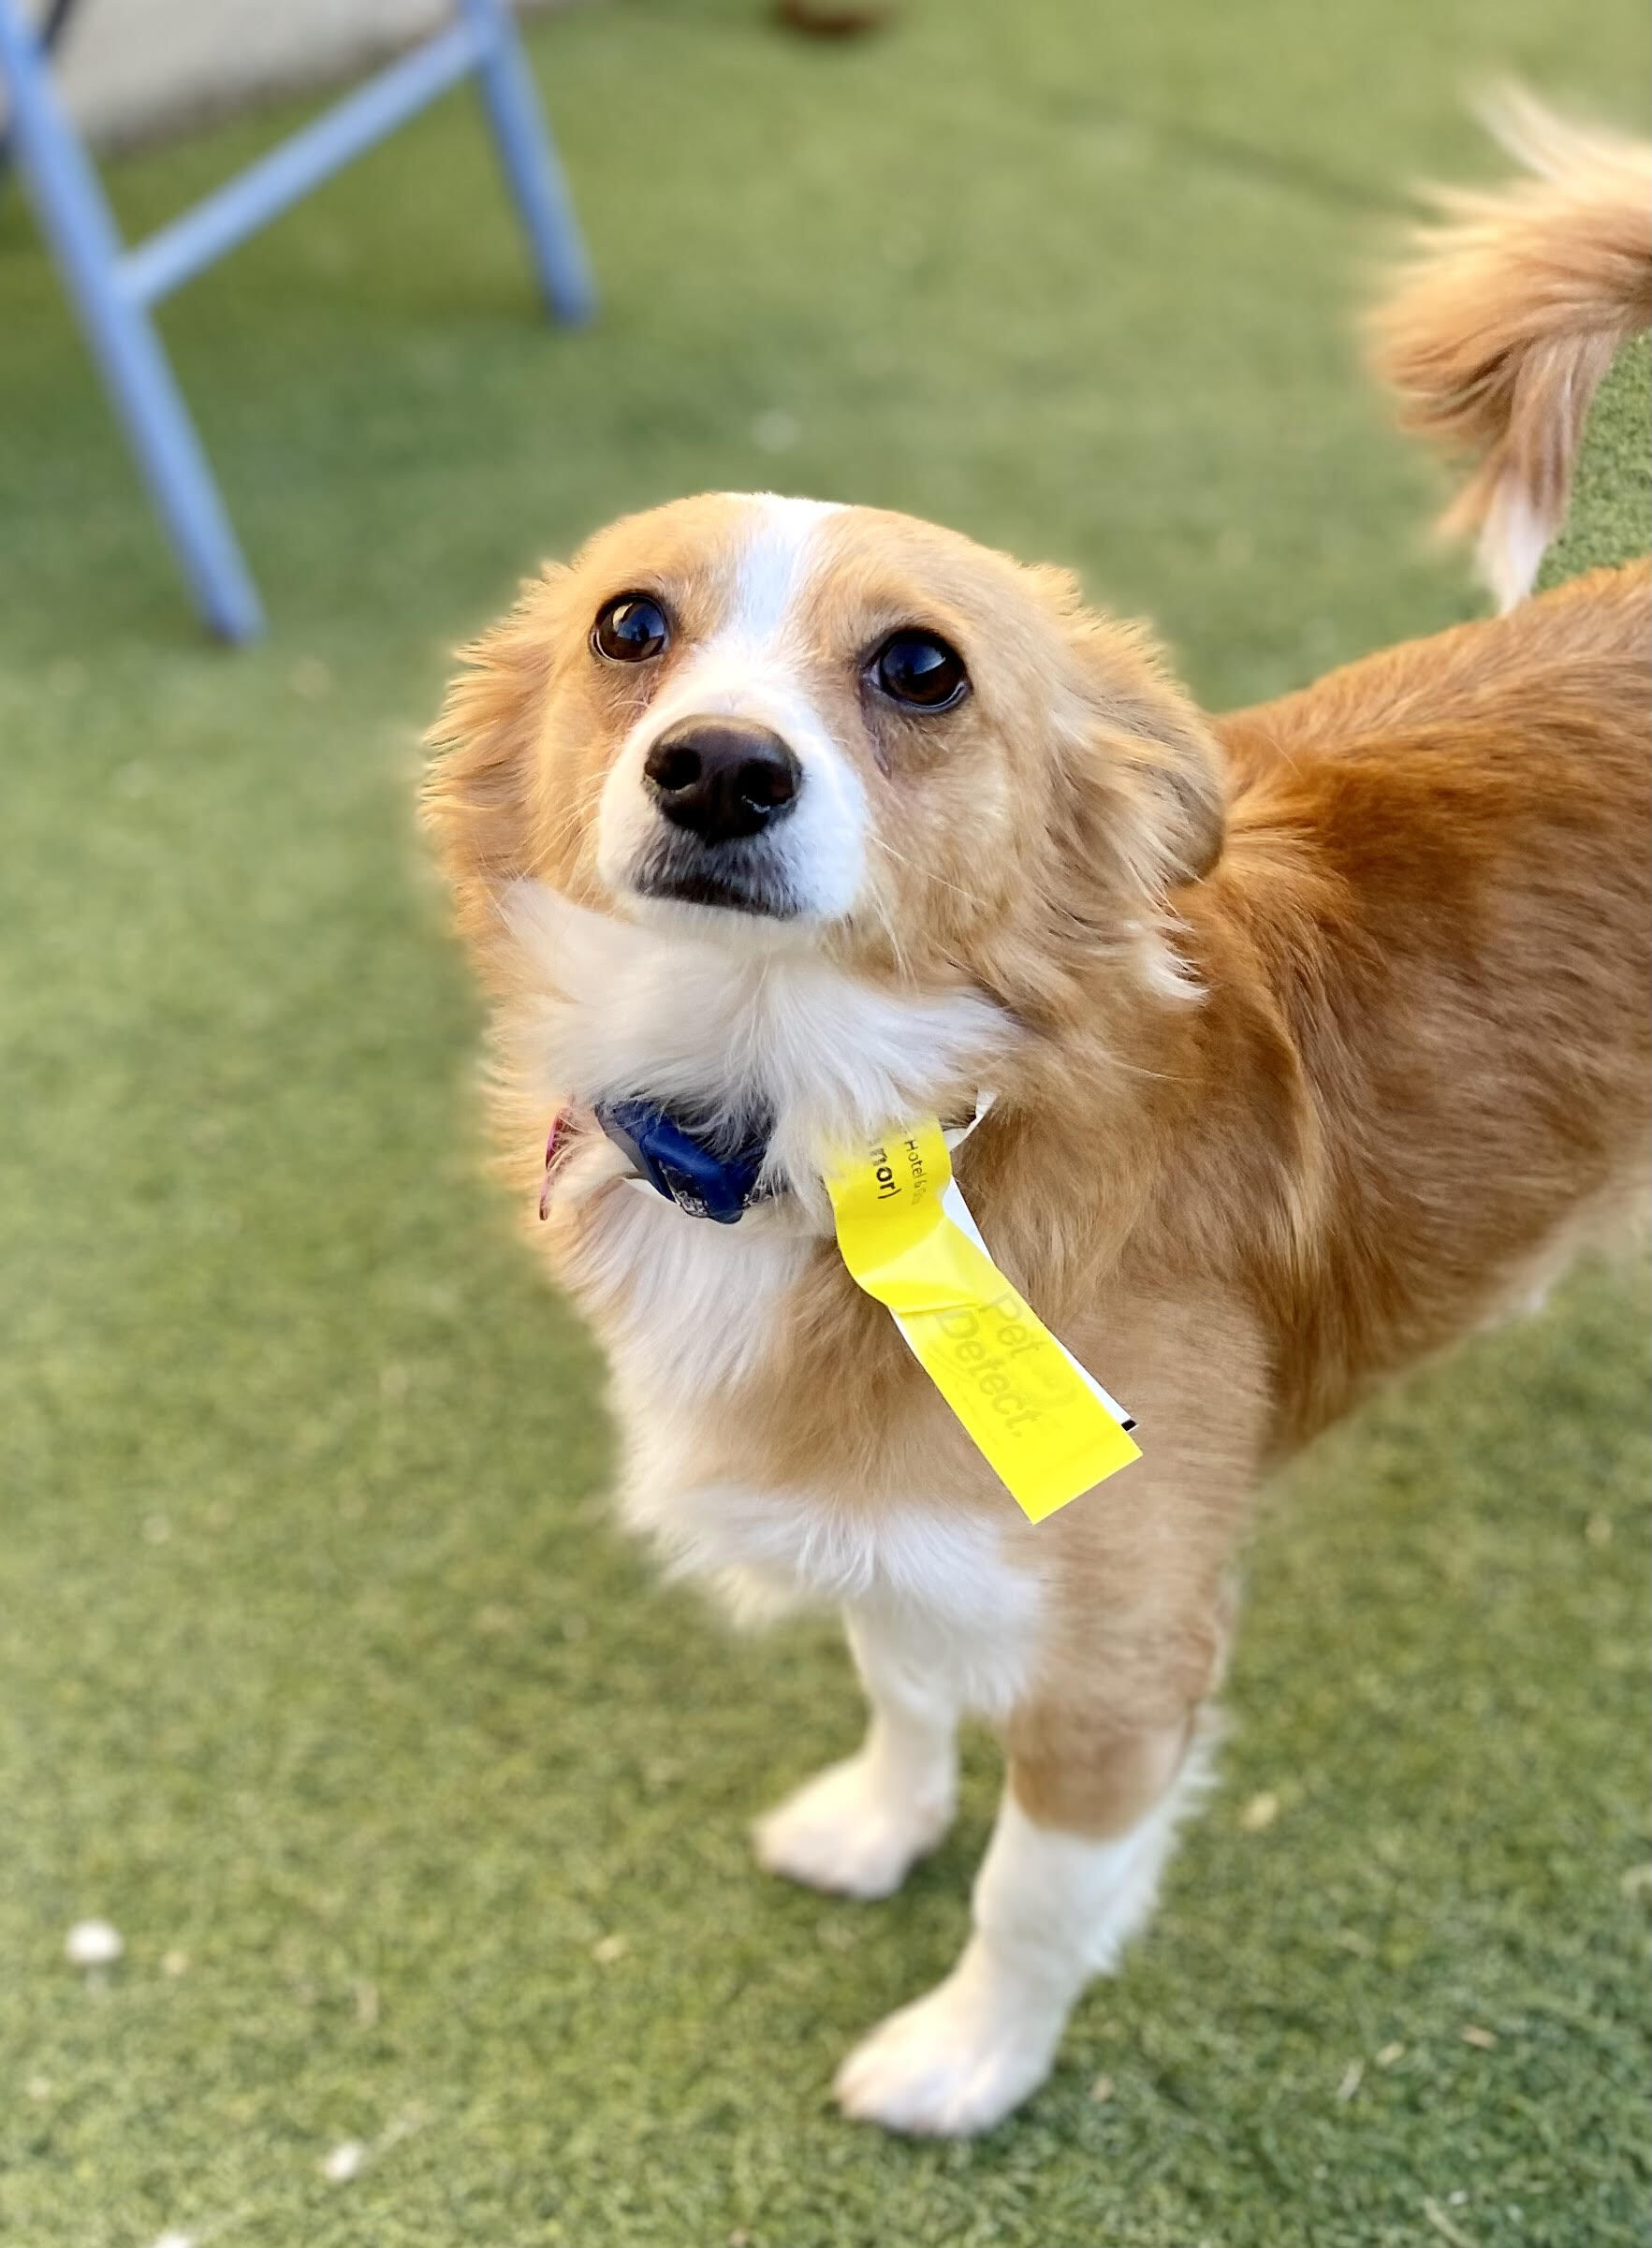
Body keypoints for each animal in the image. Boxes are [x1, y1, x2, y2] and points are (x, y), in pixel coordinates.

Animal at [422, 113, 1652, 2131]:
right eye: (629, 627)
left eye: (921, 668)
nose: (717, 768)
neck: (844, 1129)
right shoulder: (893, 1513)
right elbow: (899, 1679)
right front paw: (874, 1821)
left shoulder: (1122, 1668)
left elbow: (1030, 1893)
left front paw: (965, 2060)